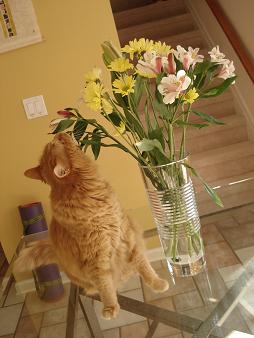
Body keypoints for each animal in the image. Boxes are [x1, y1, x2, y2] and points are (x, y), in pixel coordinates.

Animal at [14, 133, 168, 320]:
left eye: (53, 143)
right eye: (59, 142)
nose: (59, 134)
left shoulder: (127, 236)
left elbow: (144, 266)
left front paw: (157, 284)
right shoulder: (95, 256)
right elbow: (105, 285)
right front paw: (110, 307)